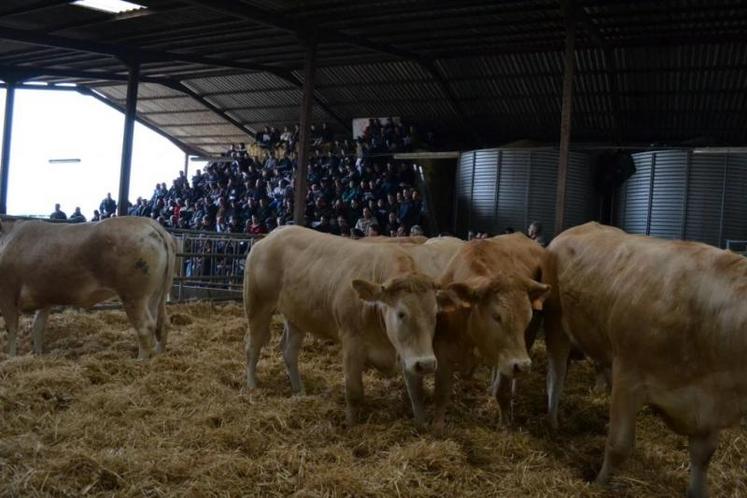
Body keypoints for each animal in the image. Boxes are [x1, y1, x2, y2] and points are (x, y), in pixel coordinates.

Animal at [0, 217, 177, 358]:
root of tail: (150, 223)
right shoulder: (44, 297)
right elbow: (38, 327)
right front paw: (37, 355)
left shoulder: (7, 293)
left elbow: (12, 328)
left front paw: (11, 358)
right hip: (158, 294)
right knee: (162, 323)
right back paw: (158, 355)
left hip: (134, 295)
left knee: (145, 327)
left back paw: (141, 361)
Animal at [243, 226, 462, 424]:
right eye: (401, 313)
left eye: (435, 313)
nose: (427, 364)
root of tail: (272, 235)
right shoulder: (352, 343)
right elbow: (354, 391)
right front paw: (350, 424)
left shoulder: (408, 351)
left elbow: (416, 391)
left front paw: (421, 423)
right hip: (258, 305)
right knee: (253, 346)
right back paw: (252, 385)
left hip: (296, 316)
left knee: (289, 350)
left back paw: (300, 391)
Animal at [426, 234, 548, 428]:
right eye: (496, 316)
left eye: (527, 317)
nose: (522, 366)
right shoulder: (443, 351)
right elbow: (442, 391)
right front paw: (437, 426)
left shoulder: (508, 358)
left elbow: (503, 391)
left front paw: (505, 424)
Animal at [544, 223, 747, 498]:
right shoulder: (628, 376)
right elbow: (619, 445)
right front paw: (599, 482)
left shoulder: (710, 406)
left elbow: (703, 456)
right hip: (556, 325)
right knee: (555, 376)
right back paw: (553, 421)